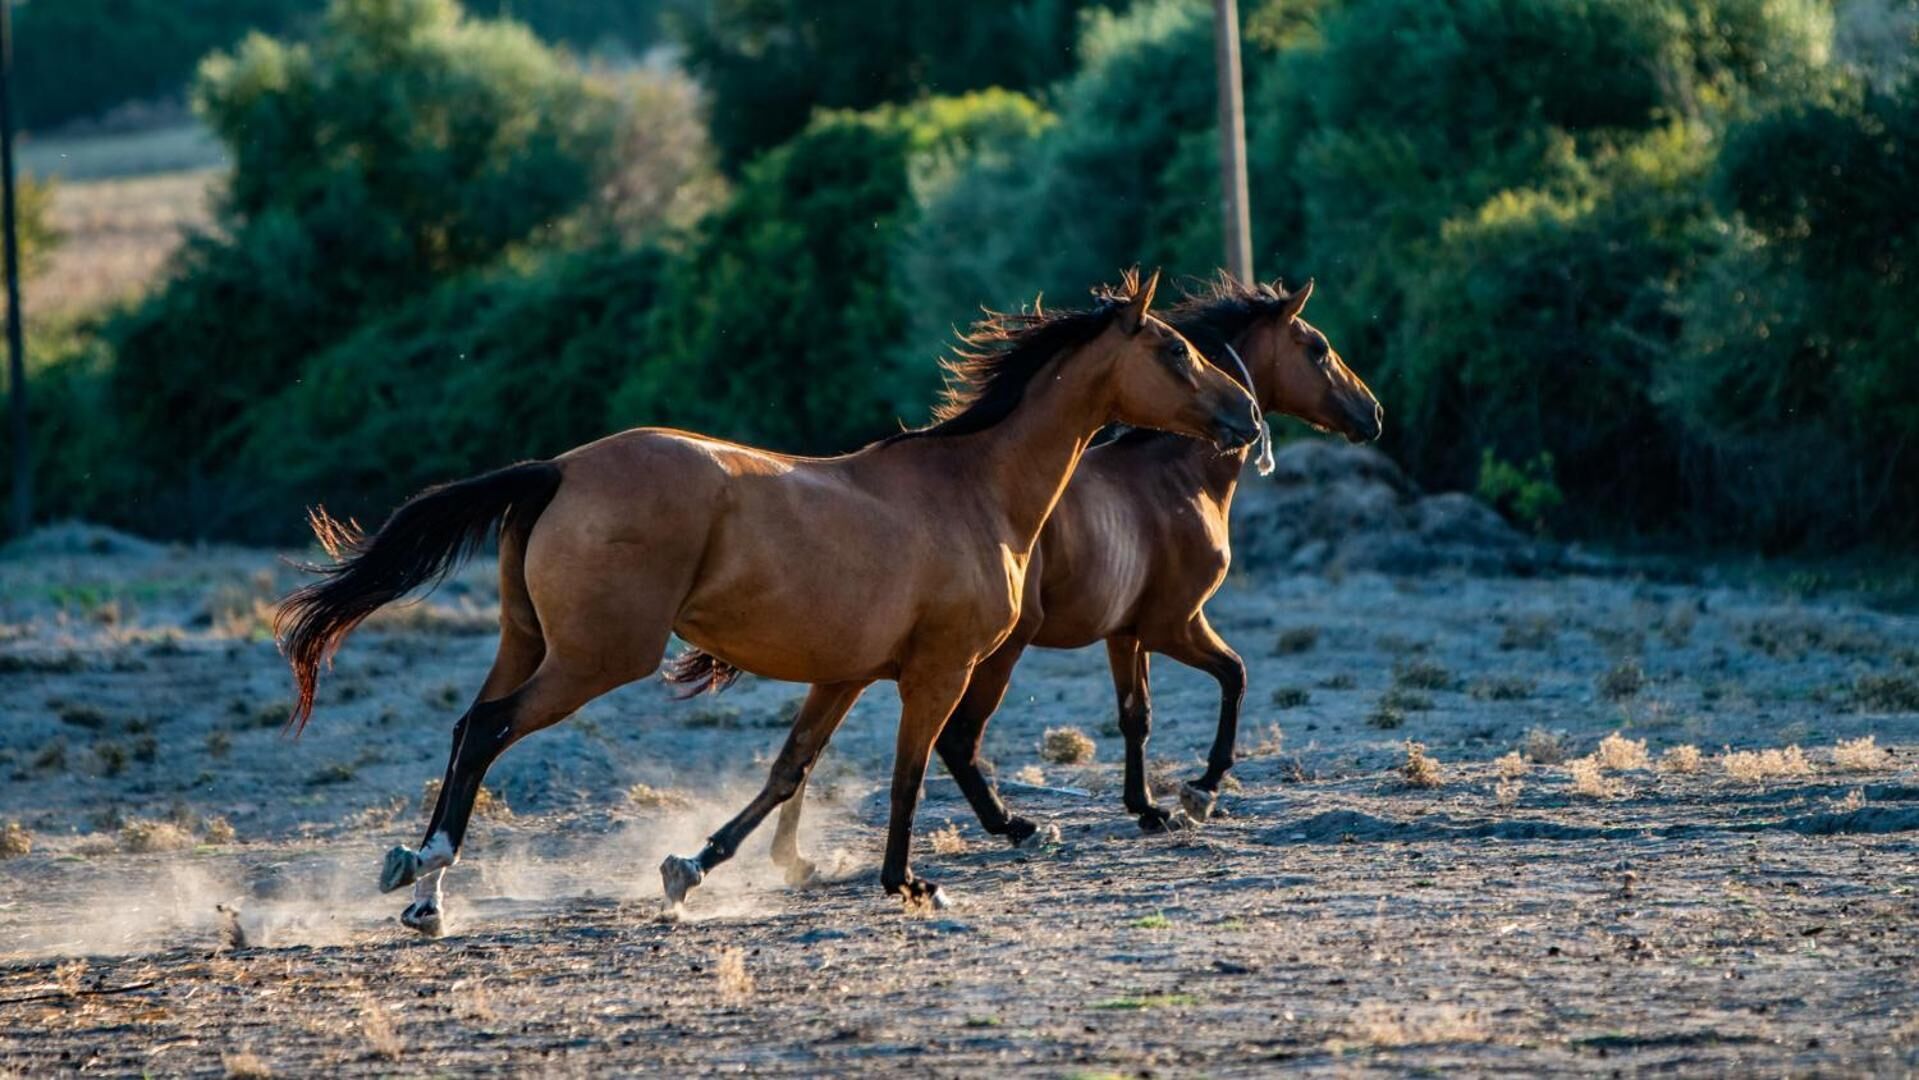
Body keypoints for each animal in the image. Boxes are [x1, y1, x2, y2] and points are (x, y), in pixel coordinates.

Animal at [276, 269, 1261, 934]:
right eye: (1174, 351)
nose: (1245, 420)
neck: (974, 488)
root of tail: (556, 469)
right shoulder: (937, 670)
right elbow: (912, 768)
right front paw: (907, 881)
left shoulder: (847, 675)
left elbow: (789, 771)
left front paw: (691, 868)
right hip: (597, 659)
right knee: (487, 730)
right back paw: (429, 880)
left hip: (527, 643)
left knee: (465, 728)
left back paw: (420, 880)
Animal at [668, 275, 1379, 878]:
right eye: (1317, 349)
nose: (1371, 414)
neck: (1172, 477)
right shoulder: (1174, 623)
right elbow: (1235, 675)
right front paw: (1198, 792)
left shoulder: (1126, 634)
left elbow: (1136, 715)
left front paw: (1148, 808)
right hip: (998, 649)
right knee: (954, 740)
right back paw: (1009, 827)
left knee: (824, 748)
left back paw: (787, 855)